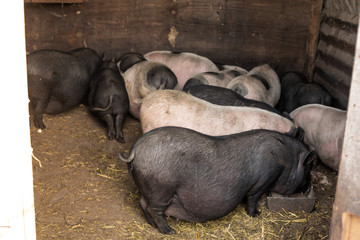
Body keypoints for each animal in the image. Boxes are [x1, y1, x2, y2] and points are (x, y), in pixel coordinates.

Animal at [119, 127, 316, 234]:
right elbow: (253, 198)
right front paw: (256, 215)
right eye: (309, 170)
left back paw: (154, 225)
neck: (287, 159)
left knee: (143, 204)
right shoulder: (264, 180)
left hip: (150, 190)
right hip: (162, 189)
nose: (308, 188)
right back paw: (170, 231)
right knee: (153, 209)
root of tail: (134, 151)